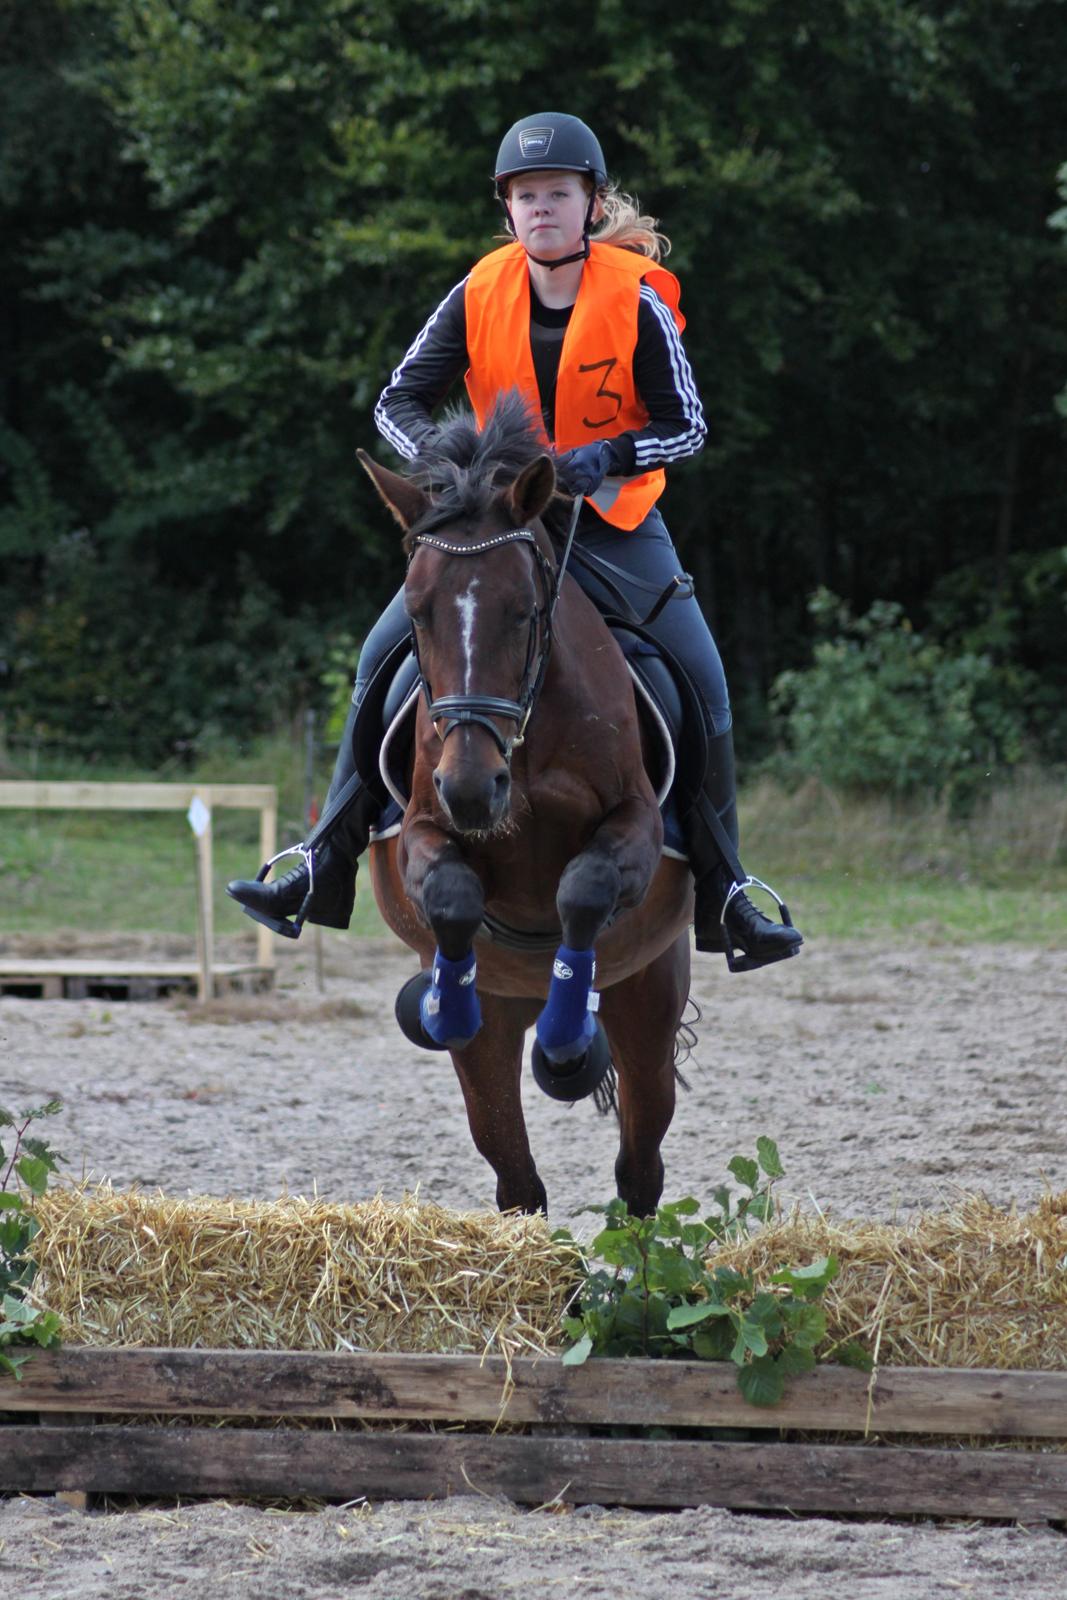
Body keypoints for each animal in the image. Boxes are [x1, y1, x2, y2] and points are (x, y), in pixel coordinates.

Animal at [356, 396, 694, 1209]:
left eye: (523, 611)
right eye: (417, 612)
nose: (472, 788)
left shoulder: (636, 823)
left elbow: (584, 887)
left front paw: (569, 1039)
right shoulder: (420, 826)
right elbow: (450, 894)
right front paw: (445, 1005)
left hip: (647, 997)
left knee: (640, 1167)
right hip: (502, 1034)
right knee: (515, 1178)